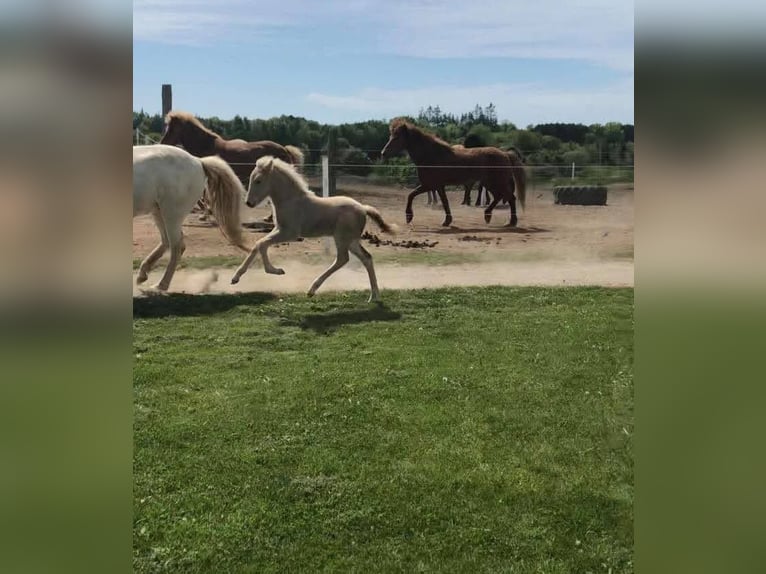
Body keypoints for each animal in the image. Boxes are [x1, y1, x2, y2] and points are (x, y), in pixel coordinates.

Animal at [134, 145, 249, 292]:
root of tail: (198, 161)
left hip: (171, 213)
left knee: (176, 246)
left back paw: (161, 285)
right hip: (159, 211)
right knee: (167, 242)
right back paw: (143, 275)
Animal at [231, 155, 400, 304]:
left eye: (258, 181)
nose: (249, 203)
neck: (291, 201)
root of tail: (363, 208)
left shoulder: (290, 233)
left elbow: (262, 244)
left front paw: (276, 270)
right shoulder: (279, 229)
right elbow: (258, 244)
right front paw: (235, 278)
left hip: (342, 238)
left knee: (342, 259)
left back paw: (312, 289)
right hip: (351, 240)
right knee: (366, 258)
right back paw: (374, 296)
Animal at [380, 119, 524, 227]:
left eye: (397, 137)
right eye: (391, 136)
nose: (383, 153)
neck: (431, 155)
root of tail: (505, 154)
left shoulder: (429, 185)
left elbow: (411, 195)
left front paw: (409, 217)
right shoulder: (438, 186)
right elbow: (444, 202)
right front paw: (447, 221)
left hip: (495, 183)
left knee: (510, 198)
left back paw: (509, 221)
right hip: (490, 183)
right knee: (501, 197)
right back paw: (490, 216)